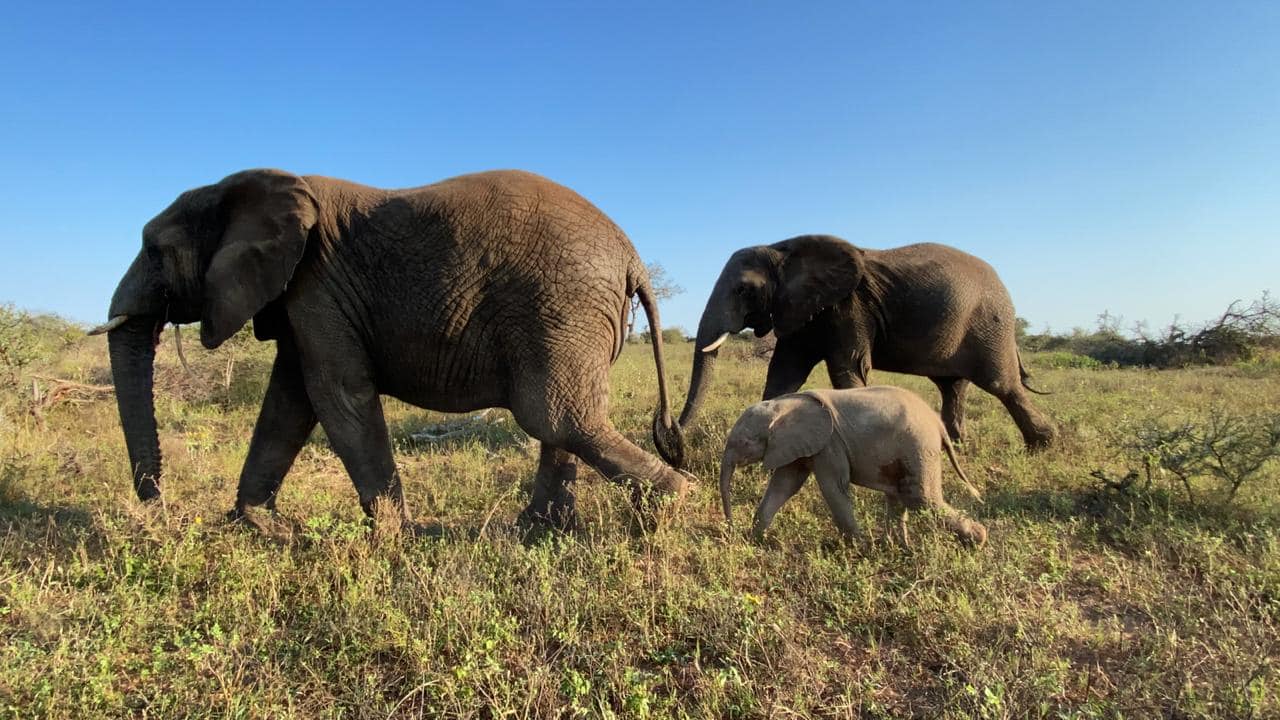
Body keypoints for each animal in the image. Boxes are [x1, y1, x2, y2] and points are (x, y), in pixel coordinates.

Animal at [92, 167, 691, 527]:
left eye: (153, 251)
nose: (162, 511)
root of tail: (631, 255)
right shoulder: (304, 295)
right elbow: (289, 402)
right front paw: (262, 530)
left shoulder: (316, 285)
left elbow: (336, 396)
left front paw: (394, 540)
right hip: (570, 313)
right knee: (564, 419)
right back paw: (537, 533)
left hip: (560, 301)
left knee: (556, 415)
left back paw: (676, 506)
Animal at [675, 233, 1054, 450]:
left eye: (743, 290)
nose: (673, 442)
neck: (781, 248)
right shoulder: (802, 309)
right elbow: (783, 375)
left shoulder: (849, 306)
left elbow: (847, 370)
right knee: (952, 386)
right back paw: (957, 447)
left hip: (990, 323)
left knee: (1001, 384)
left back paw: (1042, 445)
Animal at [721, 386, 988, 543]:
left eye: (743, 442)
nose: (730, 531)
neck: (783, 402)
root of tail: (938, 424)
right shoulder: (801, 444)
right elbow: (784, 485)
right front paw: (756, 539)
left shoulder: (830, 443)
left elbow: (832, 488)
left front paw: (857, 548)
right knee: (900, 496)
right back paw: (895, 548)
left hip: (919, 446)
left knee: (920, 497)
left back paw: (978, 539)